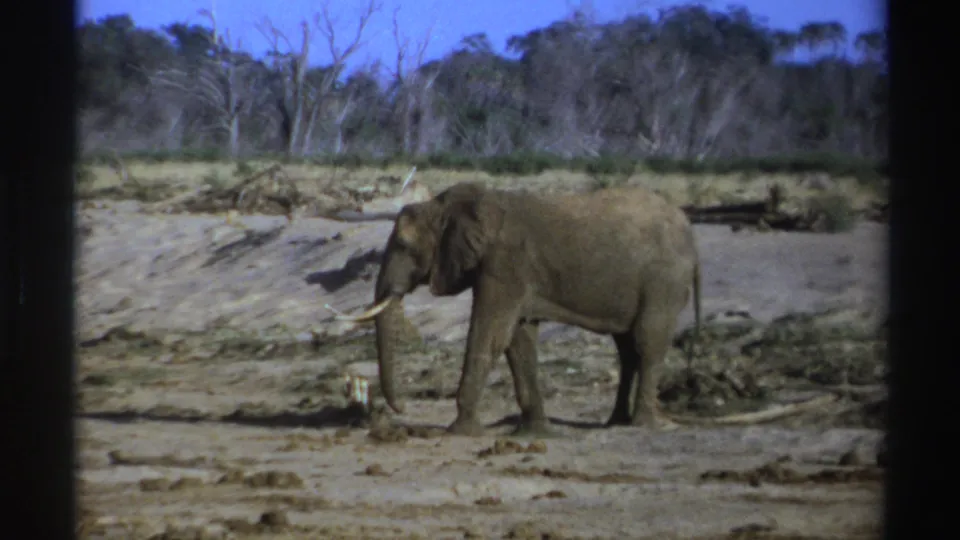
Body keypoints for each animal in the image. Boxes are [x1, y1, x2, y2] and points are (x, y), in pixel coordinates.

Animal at [335, 181, 702, 436]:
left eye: (403, 245)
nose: (399, 409)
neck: (445, 205)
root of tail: (689, 228)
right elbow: (518, 340)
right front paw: (535, 431)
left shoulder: (505, 263)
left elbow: (491, 333)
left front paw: (462, 431)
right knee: (626, 349)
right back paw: (615, 422)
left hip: (663, 281)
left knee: (647, 342)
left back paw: (642, 425)